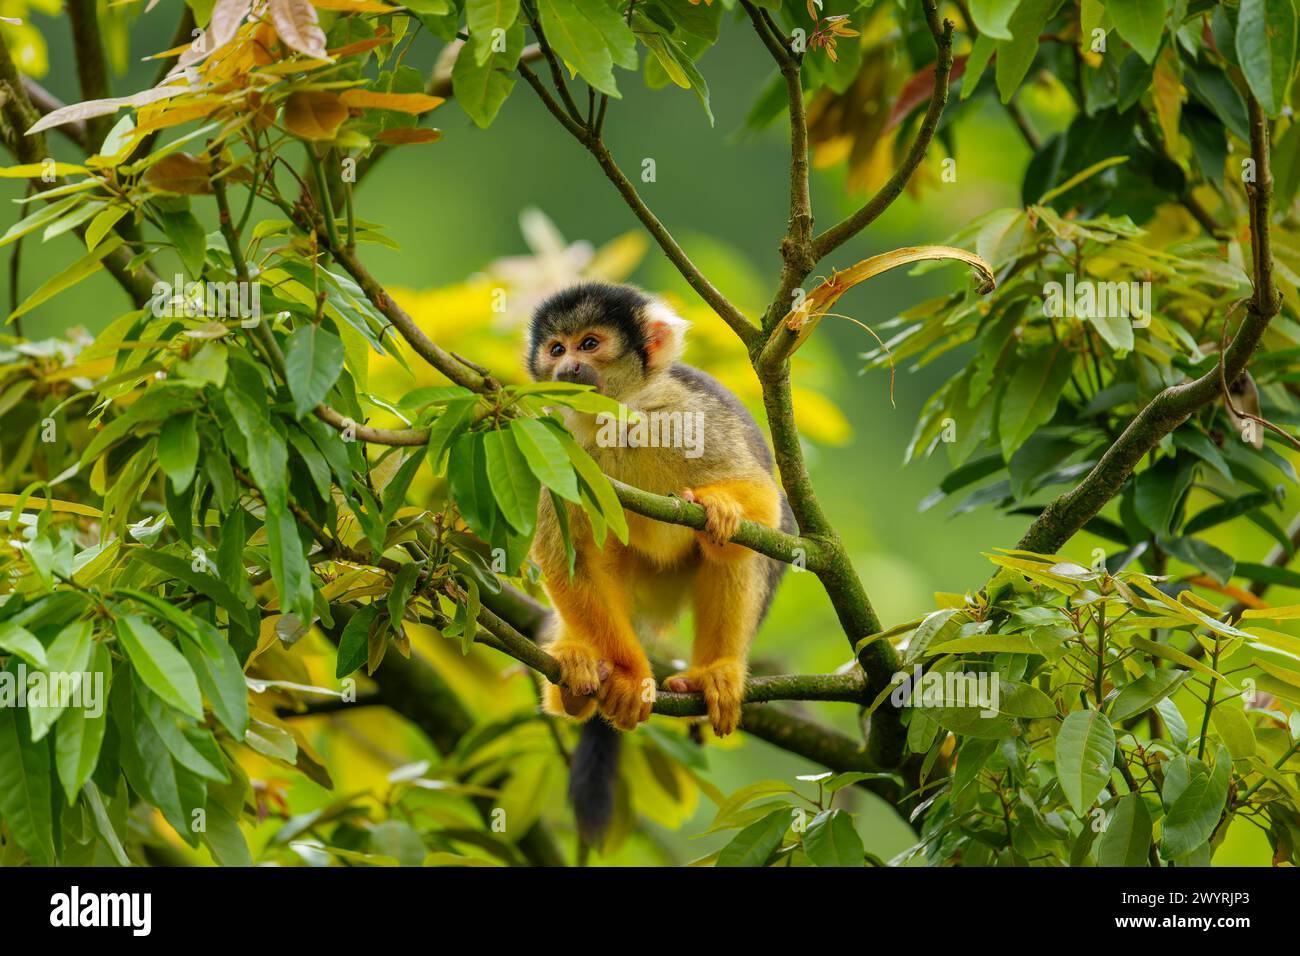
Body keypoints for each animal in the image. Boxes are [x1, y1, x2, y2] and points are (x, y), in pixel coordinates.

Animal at [525, 283, 790, 842]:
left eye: (589, 343)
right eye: (556, 349)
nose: (567, 367)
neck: (617, 416)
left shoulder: (690, 409)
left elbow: (764, 503)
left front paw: (723, 508)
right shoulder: (551, 442)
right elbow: (567, 558)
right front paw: (627, 675)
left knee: (744, 548)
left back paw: (715, 672)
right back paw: (576, 682)